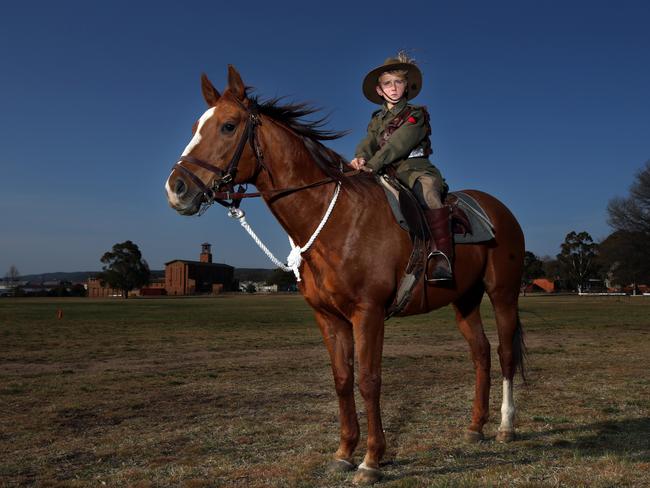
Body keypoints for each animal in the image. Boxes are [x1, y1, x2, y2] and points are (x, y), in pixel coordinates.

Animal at [165, 67, 524, 484]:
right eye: (196, 126)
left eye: (228, 125)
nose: (176, 188)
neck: (336, 220)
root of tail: (496, 208)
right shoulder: (329, 318)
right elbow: (342, 380)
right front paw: (344, 452)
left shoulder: (367, 314)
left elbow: (369, 381)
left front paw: (371, 461)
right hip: (463, 300)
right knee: (480, 353)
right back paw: (475, 427)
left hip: (503, 294)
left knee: (504, 352)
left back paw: (506, 427)